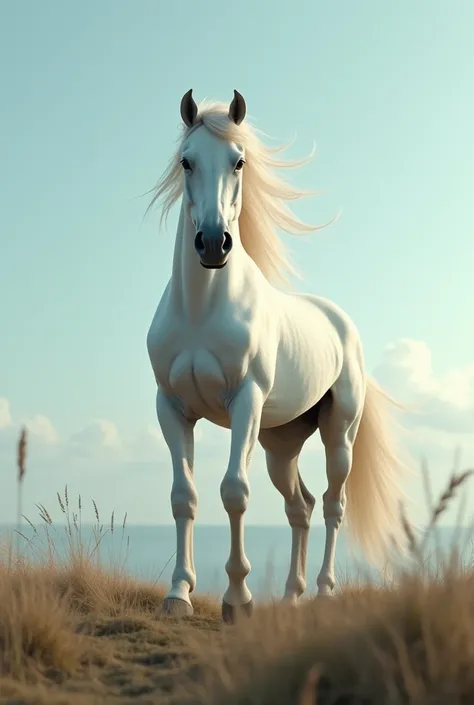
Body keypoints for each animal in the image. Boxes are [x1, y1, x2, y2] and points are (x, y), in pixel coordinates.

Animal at [146, 88, 406, 620]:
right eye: (186, 161)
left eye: (239, 160)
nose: (213, 243)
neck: (201, 310)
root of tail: (343, 325)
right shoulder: (172, 409)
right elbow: (184, 496)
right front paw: (179, 593)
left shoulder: (244, 402)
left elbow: (234, 492)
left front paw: (238, 598)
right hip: (280, 445)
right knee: (299, 507)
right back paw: (290, 595)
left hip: (339, 436)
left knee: (331, 504)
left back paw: (324, 590)